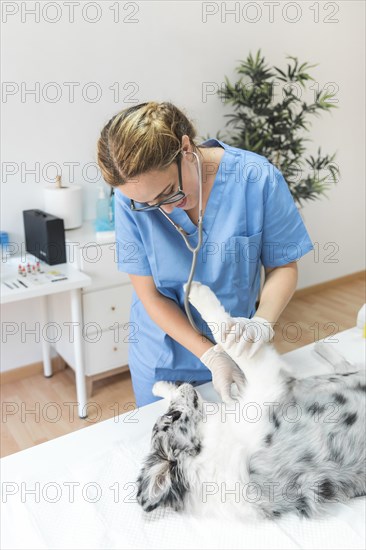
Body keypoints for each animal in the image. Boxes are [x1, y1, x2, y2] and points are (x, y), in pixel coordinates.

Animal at [137, 284, 366, 520]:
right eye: (172, 416)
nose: (183, 383)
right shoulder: (268, 382)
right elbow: (229, 341)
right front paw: (199, 294)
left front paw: (160, 386)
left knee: (345, 364)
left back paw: (322, 347)